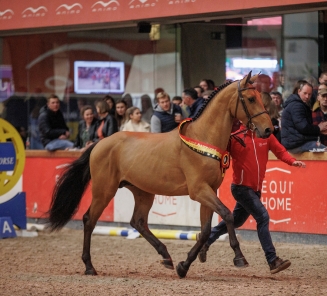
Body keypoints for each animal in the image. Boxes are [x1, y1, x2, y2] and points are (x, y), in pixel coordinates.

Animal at [48, 71, 274, 278]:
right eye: (251, 99)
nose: (268, 129)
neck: (203, 139)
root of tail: (99, 143)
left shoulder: (209, 191)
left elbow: (205, 231)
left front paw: (184, 266)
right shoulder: (199, 191)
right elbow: (226, 215)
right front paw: (239, 257)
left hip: (142, 192)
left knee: (138, 222)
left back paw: (166, 256)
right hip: (104, 190)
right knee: (89, 220)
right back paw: (89, 266)